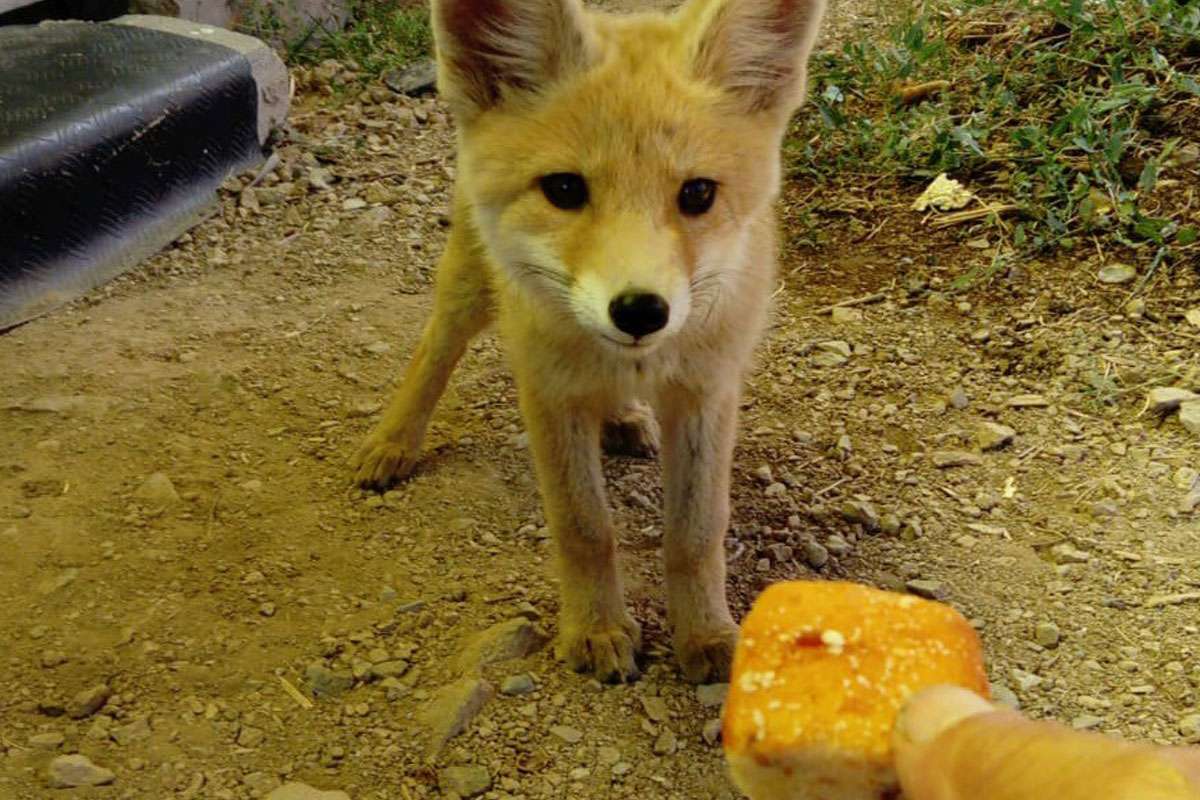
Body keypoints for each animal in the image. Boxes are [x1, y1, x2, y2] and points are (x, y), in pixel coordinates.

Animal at [350, 0, 830, 686]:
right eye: (565, 190)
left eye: (698, 194)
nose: (640, 311)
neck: (639, 360)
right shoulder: (550, 392)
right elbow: (584, 528)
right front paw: (596, 628)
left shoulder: (707, 393)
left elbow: (696, 533)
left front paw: (706, 633)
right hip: (467, 289)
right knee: (433, 350)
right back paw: (392, 442)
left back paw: (625, 416)